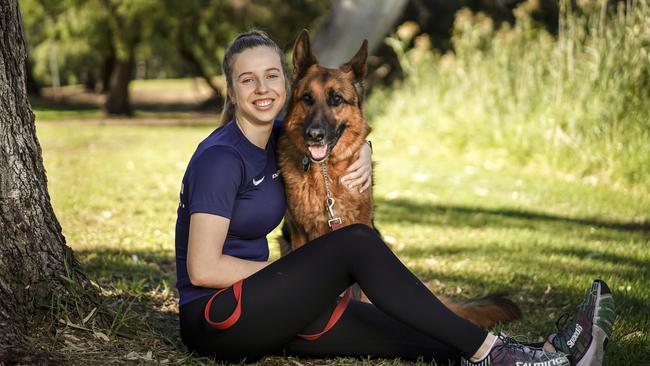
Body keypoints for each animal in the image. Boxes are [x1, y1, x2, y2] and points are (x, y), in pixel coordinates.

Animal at [276, 30, 520, 328]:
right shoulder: (298, 234)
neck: (324, 177)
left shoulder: (358, 231)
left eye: (336, 100)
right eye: (307, 98)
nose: (314, 135)